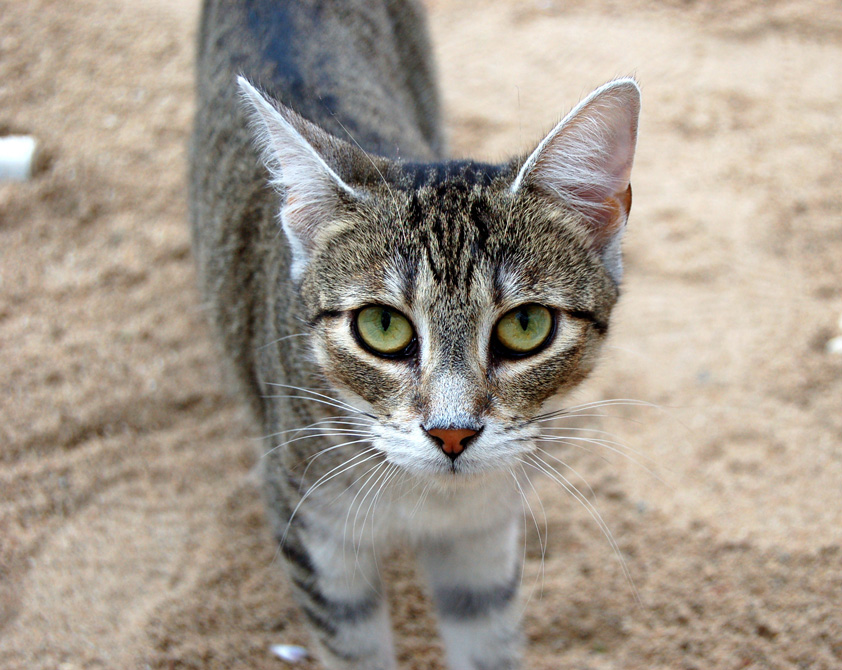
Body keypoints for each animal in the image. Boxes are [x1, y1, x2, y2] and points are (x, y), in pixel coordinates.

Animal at [190, 1, 636, 670]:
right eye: (382, 326)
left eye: (525, 326)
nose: (452, 434)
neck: (428, 502)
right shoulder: (312, 531)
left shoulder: (482, 538)